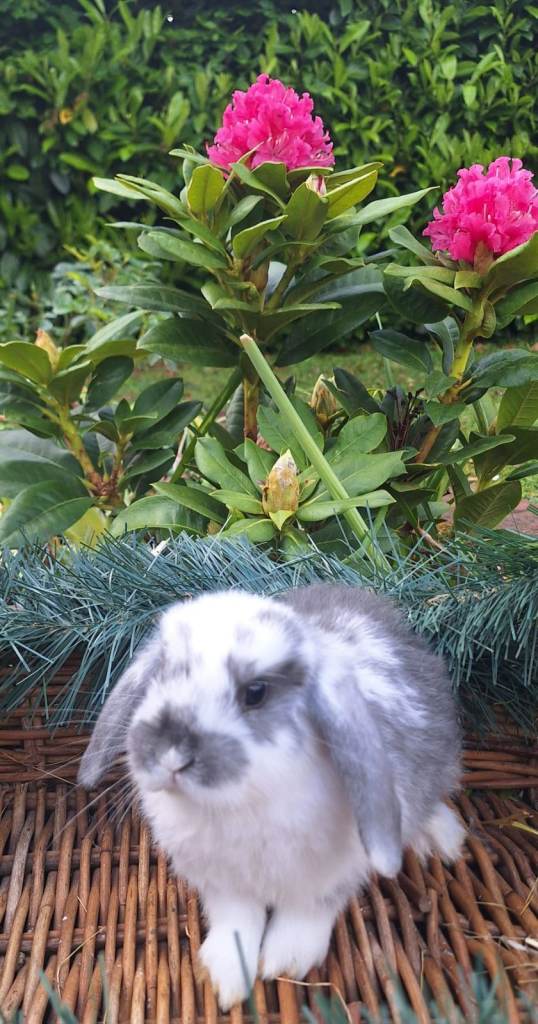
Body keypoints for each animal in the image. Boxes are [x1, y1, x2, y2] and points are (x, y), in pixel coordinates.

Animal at [78, 584, 464, 1010]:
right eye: (161, 673)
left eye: (256, 693)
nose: (170, 754)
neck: (240, 801)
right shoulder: (223, 883)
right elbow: (236, 921)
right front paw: (224, 977)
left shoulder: (330, 876)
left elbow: (306, 913)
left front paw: (284, 962)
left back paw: (443, 838)